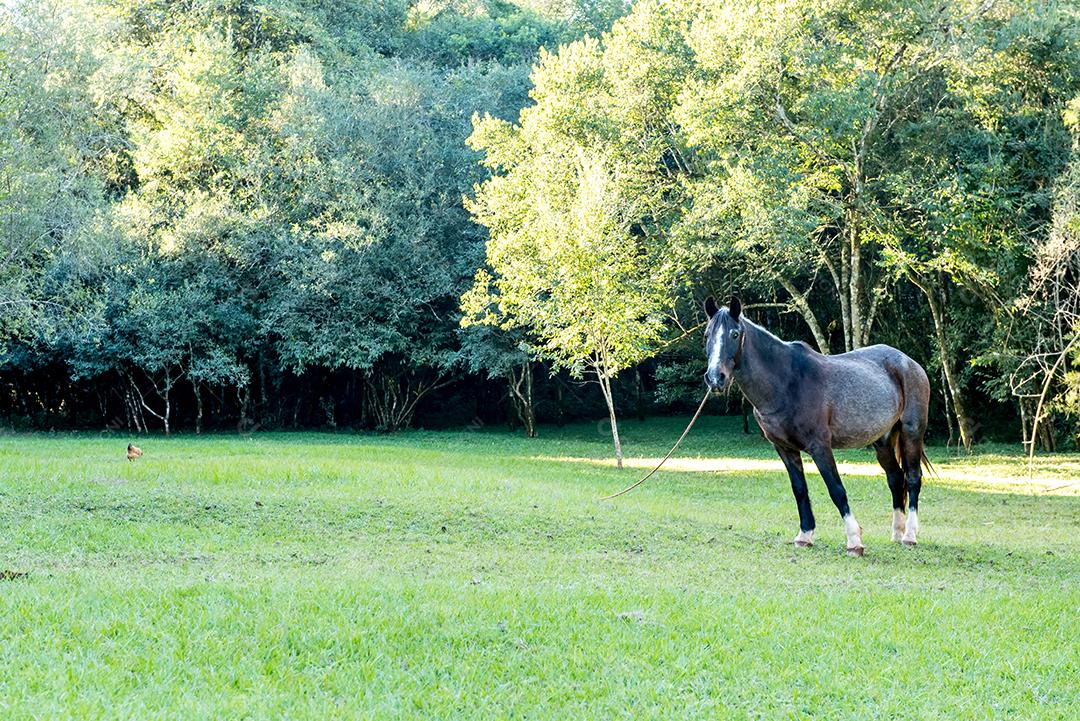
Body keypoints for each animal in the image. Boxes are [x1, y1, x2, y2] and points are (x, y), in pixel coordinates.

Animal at [704, 295, 933, 556]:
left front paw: (854, 540)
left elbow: (836, 489)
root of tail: (909, 363)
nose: (715, 378)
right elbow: (800, 489)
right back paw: (896, 533)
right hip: (882, 440)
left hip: (911, 431)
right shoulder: (784, 449)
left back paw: (910, 536)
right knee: (895, 478)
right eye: (707, 334)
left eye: (734, 334)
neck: (787, 382)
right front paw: (805, 535)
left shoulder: (820, 446)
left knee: (913, 477)